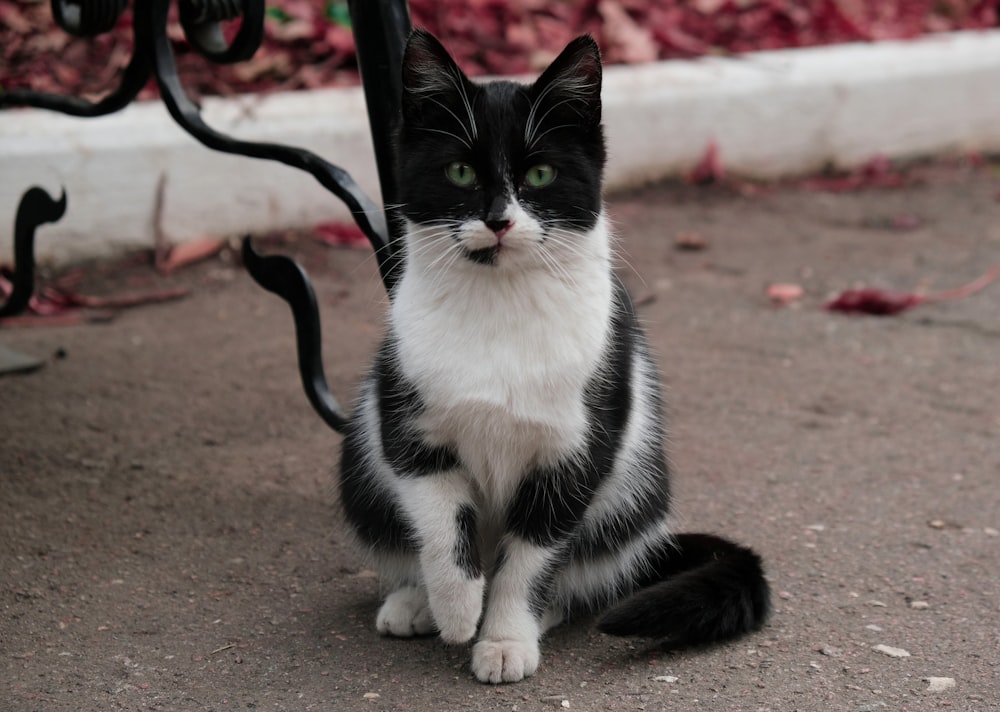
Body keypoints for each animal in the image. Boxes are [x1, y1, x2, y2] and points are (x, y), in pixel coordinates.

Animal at [338, 29, 772, 684]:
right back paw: (415, 602)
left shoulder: (578, 448)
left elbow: (530, 558)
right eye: (460, 171)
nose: (498, 219)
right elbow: (441, 524)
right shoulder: (408, 422)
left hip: (630, 494)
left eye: (540, 173)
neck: (501, 303)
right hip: (361, 467)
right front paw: (456, 608)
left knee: (577, 572)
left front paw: (503, 637)